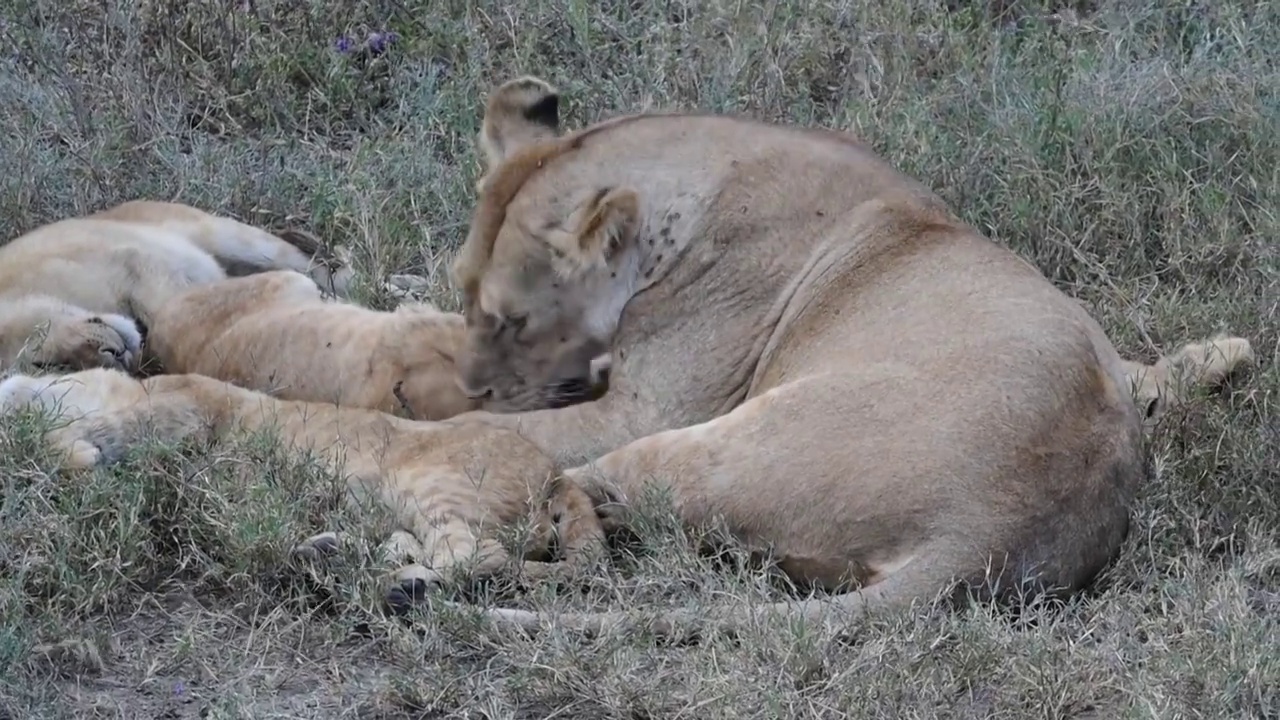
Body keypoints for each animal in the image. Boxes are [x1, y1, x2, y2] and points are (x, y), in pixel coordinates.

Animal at [0, 198, 350, 371]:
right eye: (53, 367)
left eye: (41, 356)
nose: (113, 355)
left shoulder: (136, 258)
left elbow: (169, 305)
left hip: (225, 234)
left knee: (321, 267)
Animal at [0, 363, 606, 594]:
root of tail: (556, 474)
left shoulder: (184, 405)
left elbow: (99, 429)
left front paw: (70, 453)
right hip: (409, 506)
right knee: (417, 544)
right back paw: (331, 553)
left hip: (434, 484)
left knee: (482, 556)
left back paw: (397, 585)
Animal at [437, 78, 1249, 635]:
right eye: (463, 289)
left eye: (511, 319)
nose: (472, 384)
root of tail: (992, 535)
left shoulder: (647, 407)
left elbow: (492, 429)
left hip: (716, 445)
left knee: (581, 499)